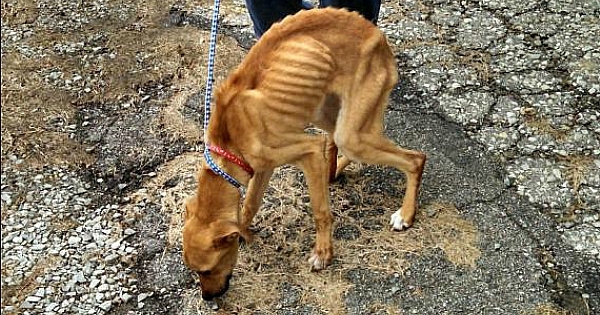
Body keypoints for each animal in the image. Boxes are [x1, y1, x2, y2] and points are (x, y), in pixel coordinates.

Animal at [183, 8, 426, 302]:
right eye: (195, 271)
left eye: (207, 270)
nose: (208, 298)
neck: (229, 140)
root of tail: (376, 33)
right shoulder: (263, 165)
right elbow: (250, 203)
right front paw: (244, 229)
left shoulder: (307, 151)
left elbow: (320, 211)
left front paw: (323, 254)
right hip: (329, 116)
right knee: (338, 143)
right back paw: (334, 170)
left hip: (352, 134)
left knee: (415, 159)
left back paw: (405, 214)